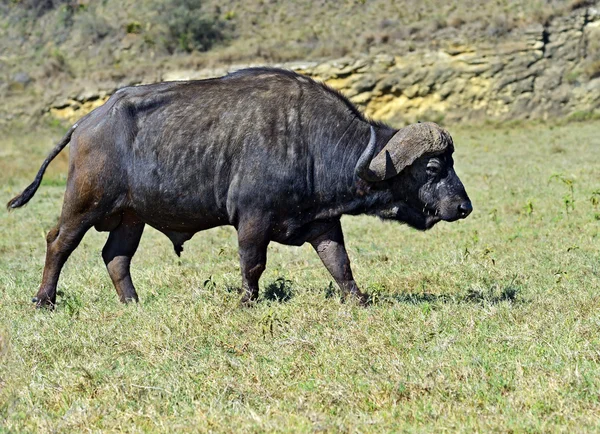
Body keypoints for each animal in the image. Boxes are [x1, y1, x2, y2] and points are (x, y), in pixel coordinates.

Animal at [5, 68, 474, 306]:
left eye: (451, 162)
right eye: (434, 166)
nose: (463, 207)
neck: (308, 143)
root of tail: (86, 122)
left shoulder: (323, 224)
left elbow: (340, 264)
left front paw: (358, 300)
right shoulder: (252, 221)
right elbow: (253, 265)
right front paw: (248, 302)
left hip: (130, 217)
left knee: (115, 257)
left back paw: (133, 302)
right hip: (85, 204)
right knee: (58, 242)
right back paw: (44, 299)